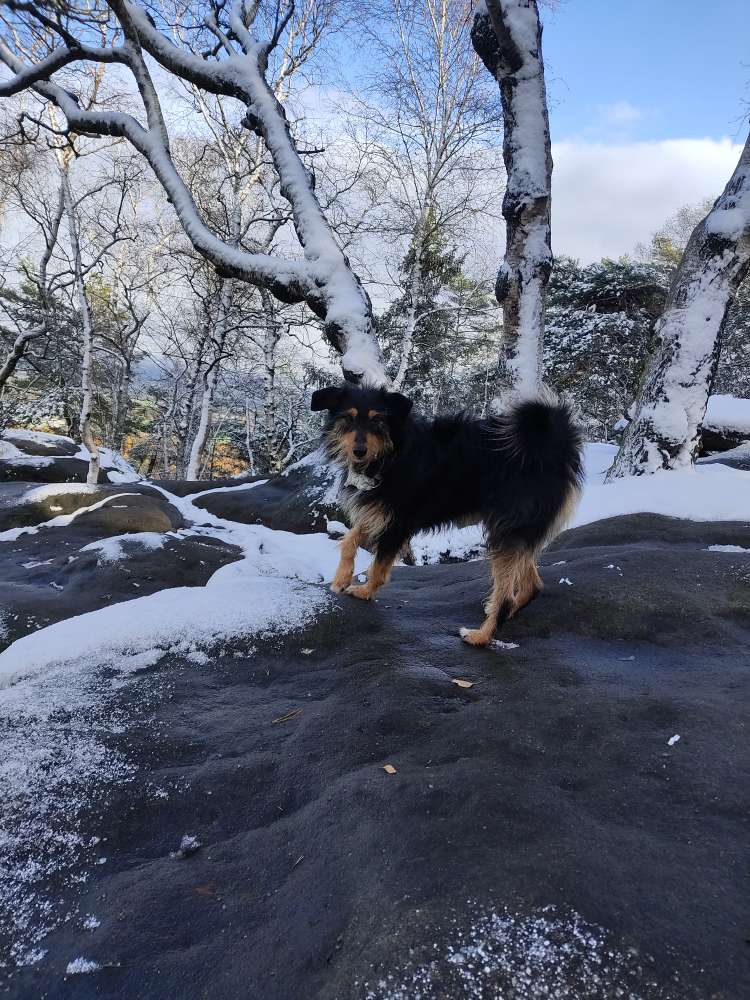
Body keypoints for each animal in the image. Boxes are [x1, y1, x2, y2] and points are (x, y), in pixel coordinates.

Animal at [308, 382, 584, 648]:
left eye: (378, 420)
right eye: (348, 418)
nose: (359, 451)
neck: (393, 450)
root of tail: (552, 446)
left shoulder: (397, 522)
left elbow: (377, 568)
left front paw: (365, 592)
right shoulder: (379, 512)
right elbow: (349, 540)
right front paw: (342, 578)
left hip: (507, 530)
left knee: (506, 595)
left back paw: (481, 635)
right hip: (519, 531)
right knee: (532, 585)